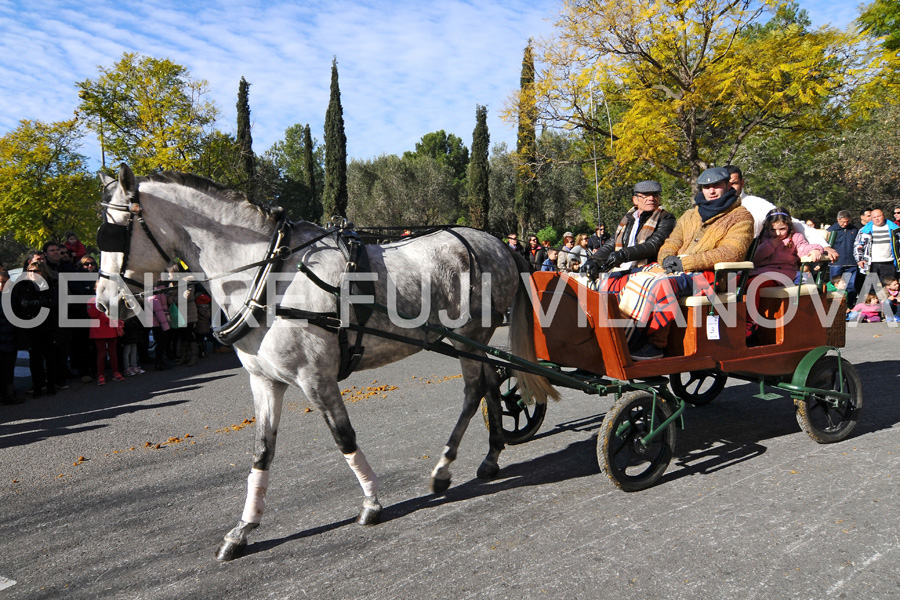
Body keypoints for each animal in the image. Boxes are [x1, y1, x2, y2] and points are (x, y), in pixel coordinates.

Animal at [96, 162, 556, 560]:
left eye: (114, 233)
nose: (102, 302)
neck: (269, 275)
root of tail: (496, 242)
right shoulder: (265, 382)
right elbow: (262, 452)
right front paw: (243, 529)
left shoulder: (315, 378)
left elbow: (344, 437)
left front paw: (371, 502)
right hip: (470, 343)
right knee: (490, 385)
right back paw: (490, 456)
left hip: (473, 337)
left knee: (476, 389)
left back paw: (446, 466)